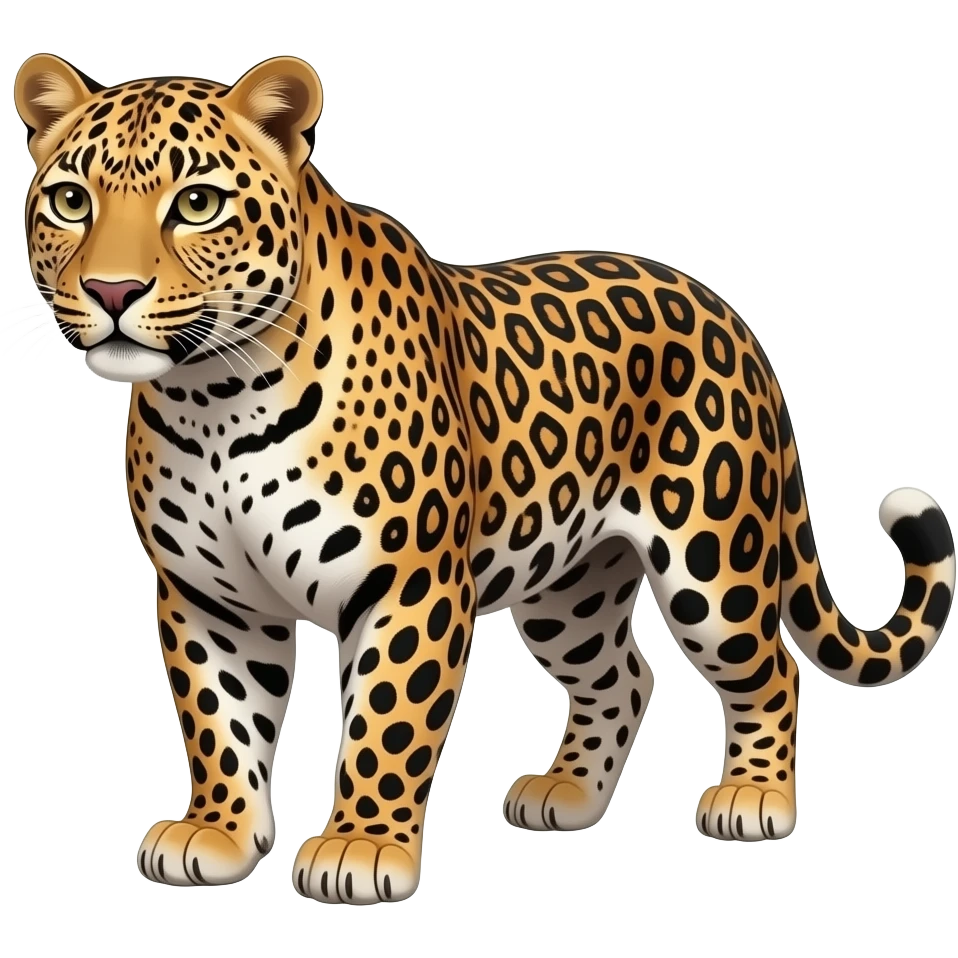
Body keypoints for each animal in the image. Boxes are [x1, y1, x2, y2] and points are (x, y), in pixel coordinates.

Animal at [13, 53, 956, 904]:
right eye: (71, 200)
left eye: (198, 205)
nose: (111, 291)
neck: (216, 398)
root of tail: (726, 312)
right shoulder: (209, 595)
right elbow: (221, 719)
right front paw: (216, 833)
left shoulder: (409, 582)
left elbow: (387, 719)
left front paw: (361, 849)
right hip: (568, 586)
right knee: (625, 675)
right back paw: (566, 794)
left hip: (712, 566)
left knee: (768, 671)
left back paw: (755, 798)